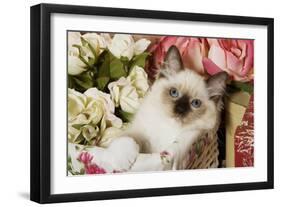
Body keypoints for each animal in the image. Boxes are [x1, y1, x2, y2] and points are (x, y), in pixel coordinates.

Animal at [89, 46, 228, 171]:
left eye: (195, 103)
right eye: (174, 93)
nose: (180, 110)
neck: (168, 127)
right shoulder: (139, 134)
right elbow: (127, 139)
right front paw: (120, 163)